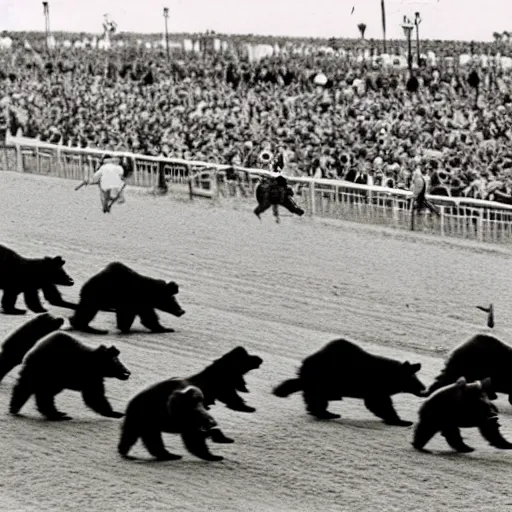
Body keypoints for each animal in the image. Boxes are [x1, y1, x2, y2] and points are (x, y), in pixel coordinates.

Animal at [274, 338, 426, 426]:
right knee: (316, 398)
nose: (424, 388)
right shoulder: (375, 390)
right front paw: (400, 421)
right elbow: (381, 405)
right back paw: (328, 413)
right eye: (413, 379)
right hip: (323, 379)